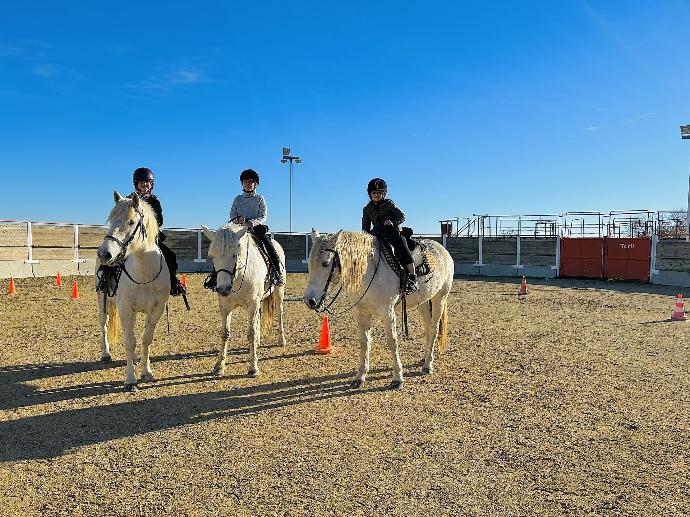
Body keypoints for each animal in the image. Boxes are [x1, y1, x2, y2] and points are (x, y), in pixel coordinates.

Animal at [95, 191, 171, 390]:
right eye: (110, 219)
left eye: (131, 222)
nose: (104, 254)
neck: (144, 273)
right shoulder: (125, 308)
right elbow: (129, 341)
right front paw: (130, 379)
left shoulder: (156, 309)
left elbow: (145, 339)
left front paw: (146, 372)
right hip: (102, 300)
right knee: (103, 323)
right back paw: (105, 354)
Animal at [200, 224, 286, 376]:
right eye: (212, 255)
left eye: (235, 254)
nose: (223, 289)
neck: (238, 277)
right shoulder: (225, 306)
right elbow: (225, 333)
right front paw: (219, 366)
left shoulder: (252, 305)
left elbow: (251, 333)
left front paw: (253, 367)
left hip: (278, 292)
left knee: (279, 313)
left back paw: (281, 340)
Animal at [300, 229, 452, 388]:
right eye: (309, 264)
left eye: (326, 263)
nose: (310, 300)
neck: (368, 272)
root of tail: (442, 250)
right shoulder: (361, 313)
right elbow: (364, 342)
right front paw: (360, 376)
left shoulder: (388, 312)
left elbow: (392, 342)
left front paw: (397, 378)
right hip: (422, 302)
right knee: (428, 328)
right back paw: (425, 358)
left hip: (440, 298)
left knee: (434, 329)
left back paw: (428, 365)